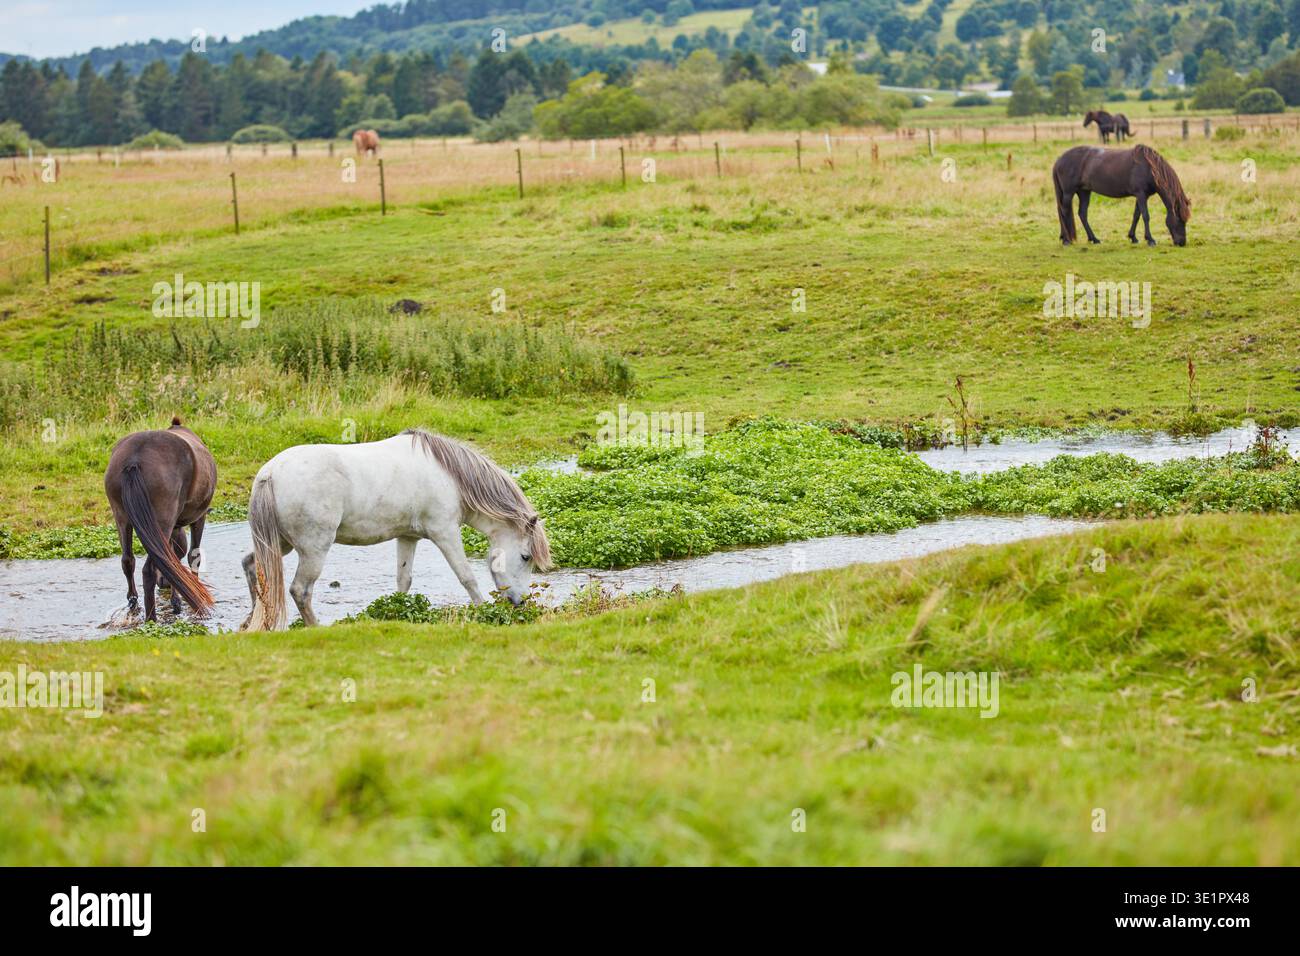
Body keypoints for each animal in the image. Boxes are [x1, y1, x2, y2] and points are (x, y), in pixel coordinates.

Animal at [104, 417, 216, 622]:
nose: (162, 584)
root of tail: (134, 459)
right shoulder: (199, 518)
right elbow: (192, 556)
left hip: (121, 518)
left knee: (127, 561)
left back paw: (134, 606)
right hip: (163, 520)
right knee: (149, 568)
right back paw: (152, 618)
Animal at [240, 430, 552, 631]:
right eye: (526, 557)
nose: (519, 603)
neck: (449, 476)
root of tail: (270, 473)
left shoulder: (408, 537)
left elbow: (403, 580)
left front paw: (398, 611)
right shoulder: (445, 533)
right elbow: (466, 577)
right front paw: (484, 611)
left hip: (278, 544)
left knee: (253, 567)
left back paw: (254, 621)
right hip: (313, 549)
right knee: (300, 590)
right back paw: (315, 627)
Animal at [1052, 144, 1190, 247]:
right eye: (1179, 220)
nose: (1181, 243)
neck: (1148, 168)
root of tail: (1059, 160)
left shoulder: (1141, 196)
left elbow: (1136, 215)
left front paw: (1133, 237)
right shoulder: (1141, 194)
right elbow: (1145, 216)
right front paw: (1150, 240)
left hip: (1084, 192)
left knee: (1082, 214)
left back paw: (1094, 239)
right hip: (1069, 193)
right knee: (1064, 212)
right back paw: (1066, 240)